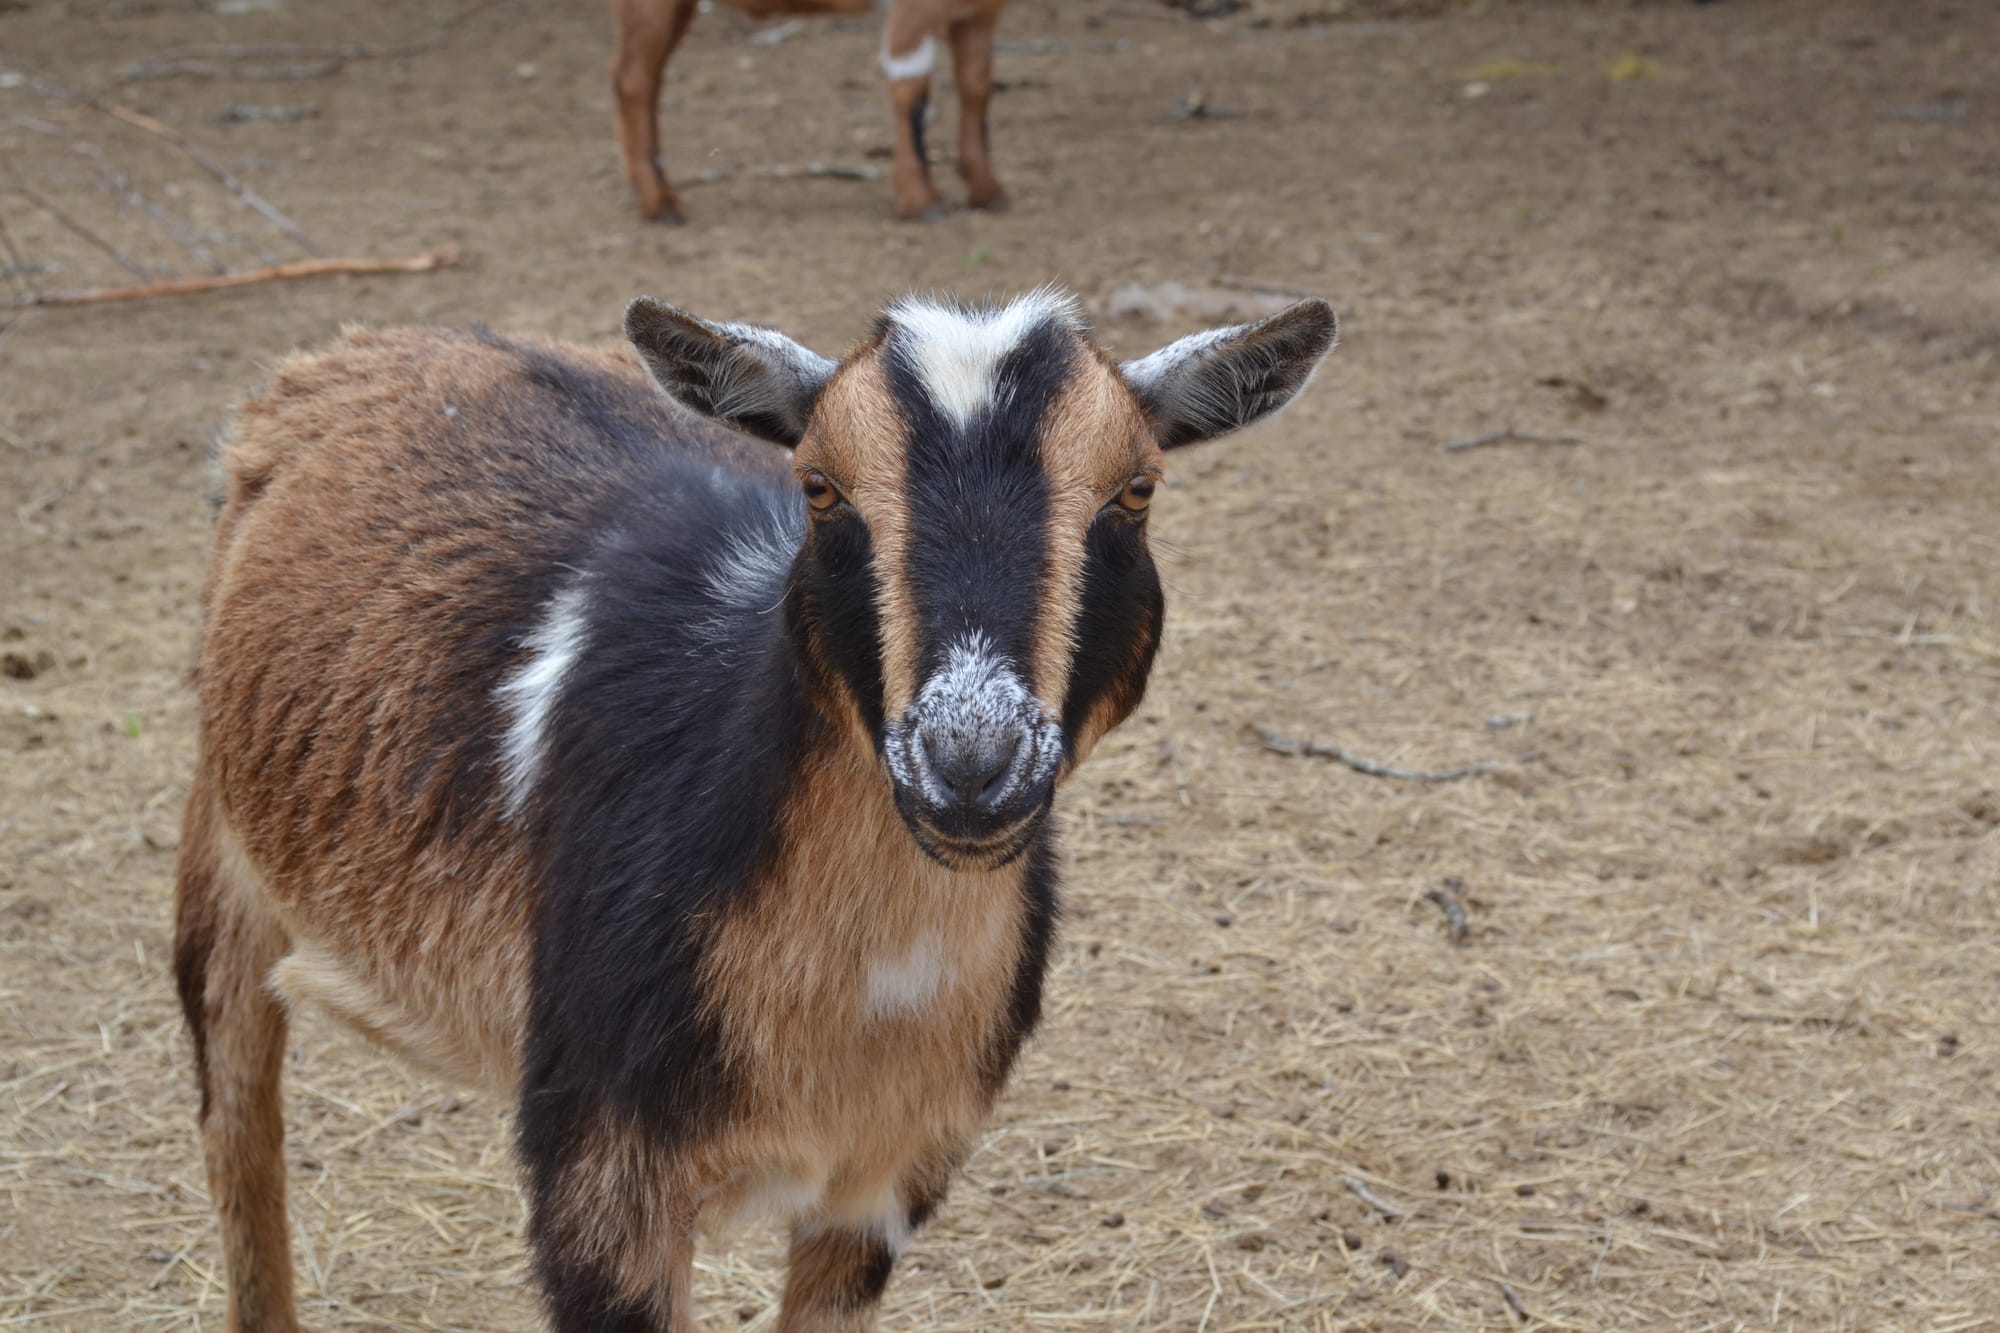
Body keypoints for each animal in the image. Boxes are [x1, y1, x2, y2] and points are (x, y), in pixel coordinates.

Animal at [175, 287, 1337, 1331]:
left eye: (1136, 491)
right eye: (818, 488)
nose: (970, 763)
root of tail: (375, 341)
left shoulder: (881, 1183)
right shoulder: (600, 1182)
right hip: (220, 864)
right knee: (240, 1129)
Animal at [611, 0, 1012, 222]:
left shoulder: (980, 13)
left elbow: (977, 85)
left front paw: (986, 189)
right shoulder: (916, 11)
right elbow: (911, 91)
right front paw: (921, 198)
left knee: (649, 79)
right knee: (633, 81)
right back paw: (659, 202)